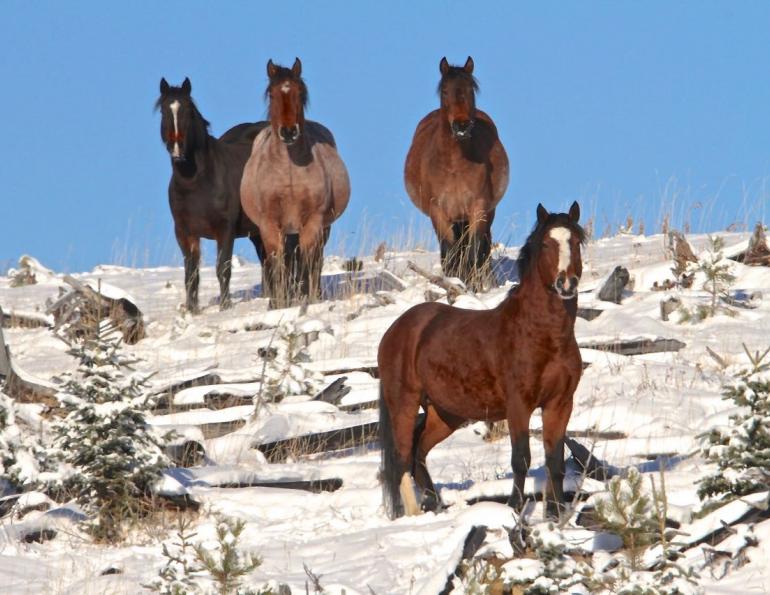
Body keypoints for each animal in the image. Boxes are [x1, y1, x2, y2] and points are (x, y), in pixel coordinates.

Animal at [157, 77, 268, 313]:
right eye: (163, 111)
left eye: (189, 110)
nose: (177, 147)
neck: (196, 183)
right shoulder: (185, 233)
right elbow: (191, 273)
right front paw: (192, 309)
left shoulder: (224, 230)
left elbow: (222, 268)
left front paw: (225, 306)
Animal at [240, 58, 350, 307]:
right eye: (271, 94)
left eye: (299, 92)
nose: (289, 131)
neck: (288, 173)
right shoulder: (270, 225)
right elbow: (277, 264)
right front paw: (278, 303)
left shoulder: (313, 222)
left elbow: (308, 263)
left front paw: (308, 298)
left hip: (322, 228)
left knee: (314, 261)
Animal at [378, 201, 584, 520]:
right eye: (547, 243)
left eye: (575, 242)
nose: (566, 283)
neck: (542, 335)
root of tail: (396, 329)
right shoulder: (518, 406)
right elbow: (521, 459)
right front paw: (514, 509)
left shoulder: (560, 404)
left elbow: (555, 462)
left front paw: (554, 514)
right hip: (403, 403)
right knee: (402, 457)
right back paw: (414, 514)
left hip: (445, 414)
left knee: (418, 451)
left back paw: (436, 506)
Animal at [404, 56, 509, 290]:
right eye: (444, 90)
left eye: (471, 89)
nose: (461, 126)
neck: (454, 166)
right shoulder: (439, 212)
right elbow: (449, 252)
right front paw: (456, 282)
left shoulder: (479, 208)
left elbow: (475, 251)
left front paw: (473, 286)